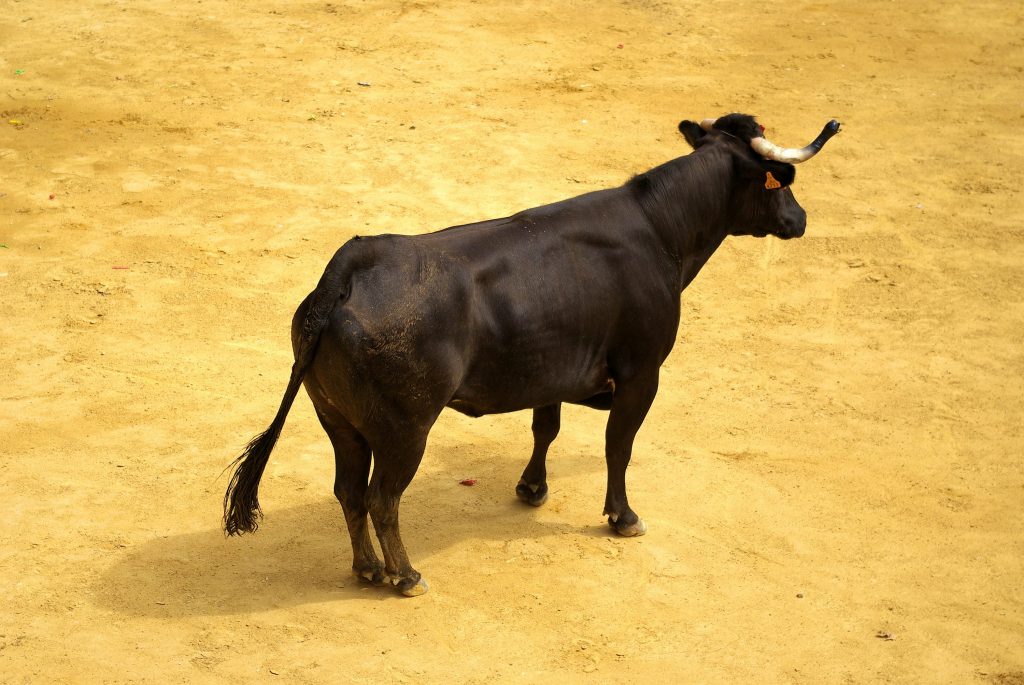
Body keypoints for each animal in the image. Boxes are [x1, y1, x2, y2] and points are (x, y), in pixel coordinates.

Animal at [223, 113, 840, 596]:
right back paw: (406, 576)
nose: (801, 219)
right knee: (383, 498)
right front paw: (624, 518)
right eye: (778, 182)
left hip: (336, 419)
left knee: (350, 490)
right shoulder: (642, 373)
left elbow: (546, 427)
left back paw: (368, 570)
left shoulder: (553, 369)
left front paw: (532, 489)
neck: (659, 229)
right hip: (405, 429)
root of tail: (344, 273)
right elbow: (619, 447)